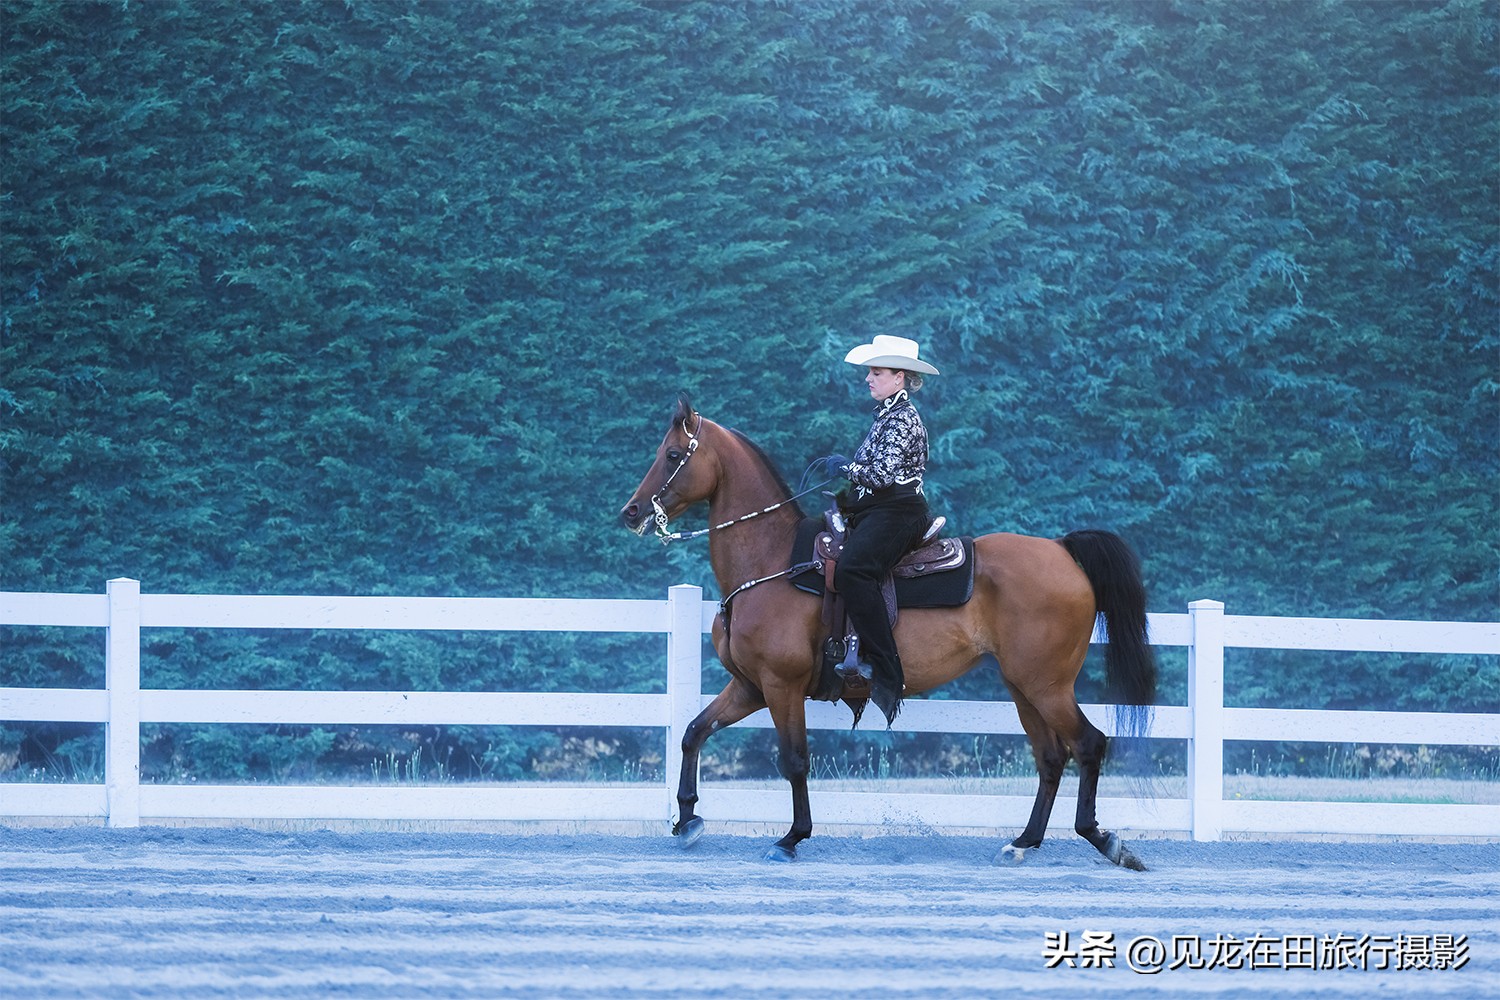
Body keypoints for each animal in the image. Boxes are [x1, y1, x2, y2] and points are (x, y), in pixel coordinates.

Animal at [621, 395, 1158, 869]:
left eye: (673, 455)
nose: (632, 512)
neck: (772, 561)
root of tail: (1063, 550)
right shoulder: (750, 686)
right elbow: (693, 731)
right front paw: (686, 821)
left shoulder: (781, 685)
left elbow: (794, 760)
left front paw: (791, 839)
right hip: (1024, 686)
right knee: (1050, 757)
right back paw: (1022, 843)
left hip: (1047, 685)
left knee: (1088, 745)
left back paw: (1106, 842)